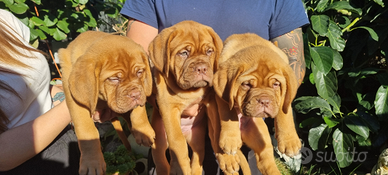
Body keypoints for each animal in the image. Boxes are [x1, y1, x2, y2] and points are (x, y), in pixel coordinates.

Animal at [58, 30, 155, 174]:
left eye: (139, 72)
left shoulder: (141, 89)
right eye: (114, 79)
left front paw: (143, 130)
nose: (135, 95)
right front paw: (92, 162)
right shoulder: (74, 98)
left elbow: (139, 110)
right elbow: (86, 130)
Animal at [148, 20, 223, 175]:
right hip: (159, 140)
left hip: (197, 137)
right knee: (160, 158)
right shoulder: (169, 108)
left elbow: (218, 128)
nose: (202, 68)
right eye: (184, 53)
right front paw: (179, 167)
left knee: (198, 155)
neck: (190, 91)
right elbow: (178, 142)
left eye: (209, 51)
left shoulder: (211, 102)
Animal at [214, 33, 302, 175]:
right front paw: (230, 139)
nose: (264, 101)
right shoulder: (222, 95)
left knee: (265, 162)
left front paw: (290, 141)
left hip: (262, 136)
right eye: (246, 84)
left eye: (276, 84)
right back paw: (228, 159)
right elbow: (228, 113)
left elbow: (285, 111)